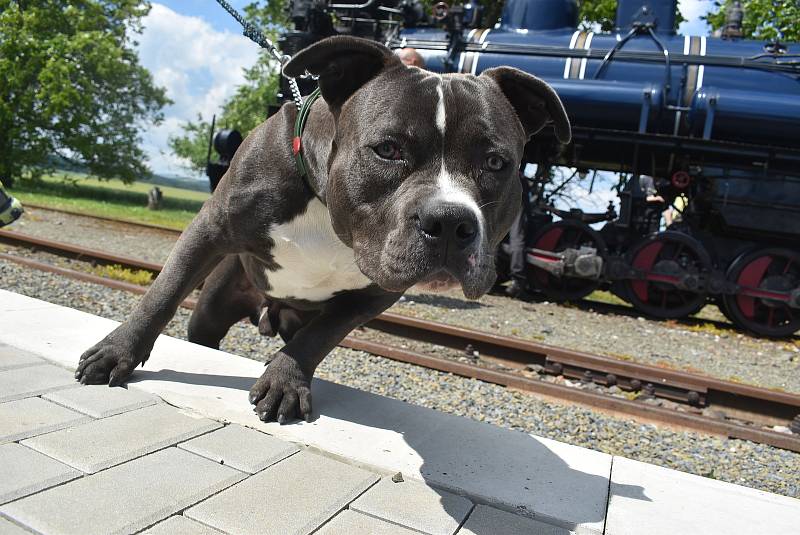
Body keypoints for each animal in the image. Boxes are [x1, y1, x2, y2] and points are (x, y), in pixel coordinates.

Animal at [75, 36, 568, 422]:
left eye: (496, 162)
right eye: (387, 149)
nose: (449, 221)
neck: (328, 210)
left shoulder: (375, 293)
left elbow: (320, 338)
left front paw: (284, 381)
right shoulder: (211, 227)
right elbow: (164, 292)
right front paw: (116, 353)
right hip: (214, 307)